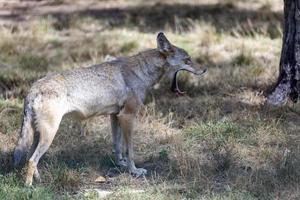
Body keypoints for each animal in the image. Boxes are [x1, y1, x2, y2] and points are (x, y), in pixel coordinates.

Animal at [13, 32, 206, 185]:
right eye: (187, 60)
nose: (204, 70)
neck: (141, 72)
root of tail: (33, 89)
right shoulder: (128, 116)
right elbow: (130, 150)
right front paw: (134, 171)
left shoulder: (115, 116)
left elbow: (118, 146)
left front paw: (121, 165)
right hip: (49, 135)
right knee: (32, 160)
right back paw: (29, 187)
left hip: (39, 135)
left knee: (29, 158)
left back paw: (39, 181)